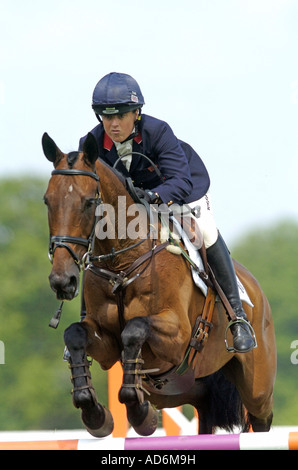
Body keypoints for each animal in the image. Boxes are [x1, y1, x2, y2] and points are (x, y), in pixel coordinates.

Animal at [42, 132, 278, 436]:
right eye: (48, 201)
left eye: (89, 202)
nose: (62, 280)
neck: (121, 265)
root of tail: (255, 290)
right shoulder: (105, 343)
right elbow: (75, 334)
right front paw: (96, 414)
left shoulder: (177, 334)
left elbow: (134, 329)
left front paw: (140, 412)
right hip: (183, 387)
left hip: (257, 388)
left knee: (260, 417)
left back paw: (241, 333)